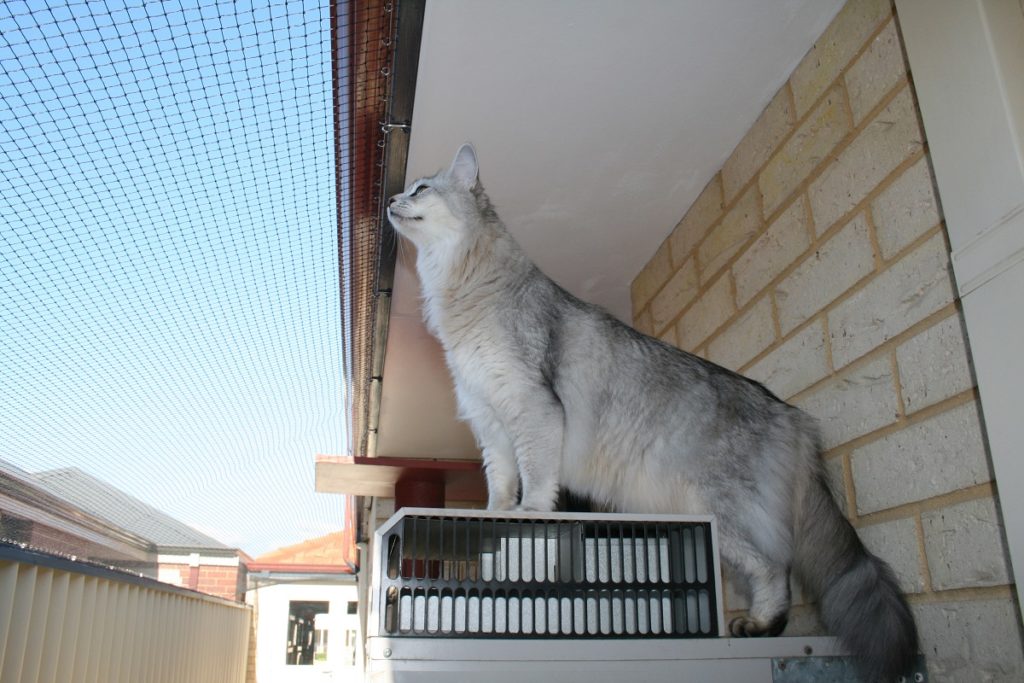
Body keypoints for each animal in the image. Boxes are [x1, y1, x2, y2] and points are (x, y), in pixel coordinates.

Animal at [389, 143, 921, 679]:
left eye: (421, 189)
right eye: (407, 189)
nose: (391, 198)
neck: (467, 286)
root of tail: (791, 416)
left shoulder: (531, 405)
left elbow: (535, 477)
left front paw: (530, 512)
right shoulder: (490, 421)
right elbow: (500, 482)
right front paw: (499, 515)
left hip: (718, 510)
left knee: (774, 567)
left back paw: (761, 625)